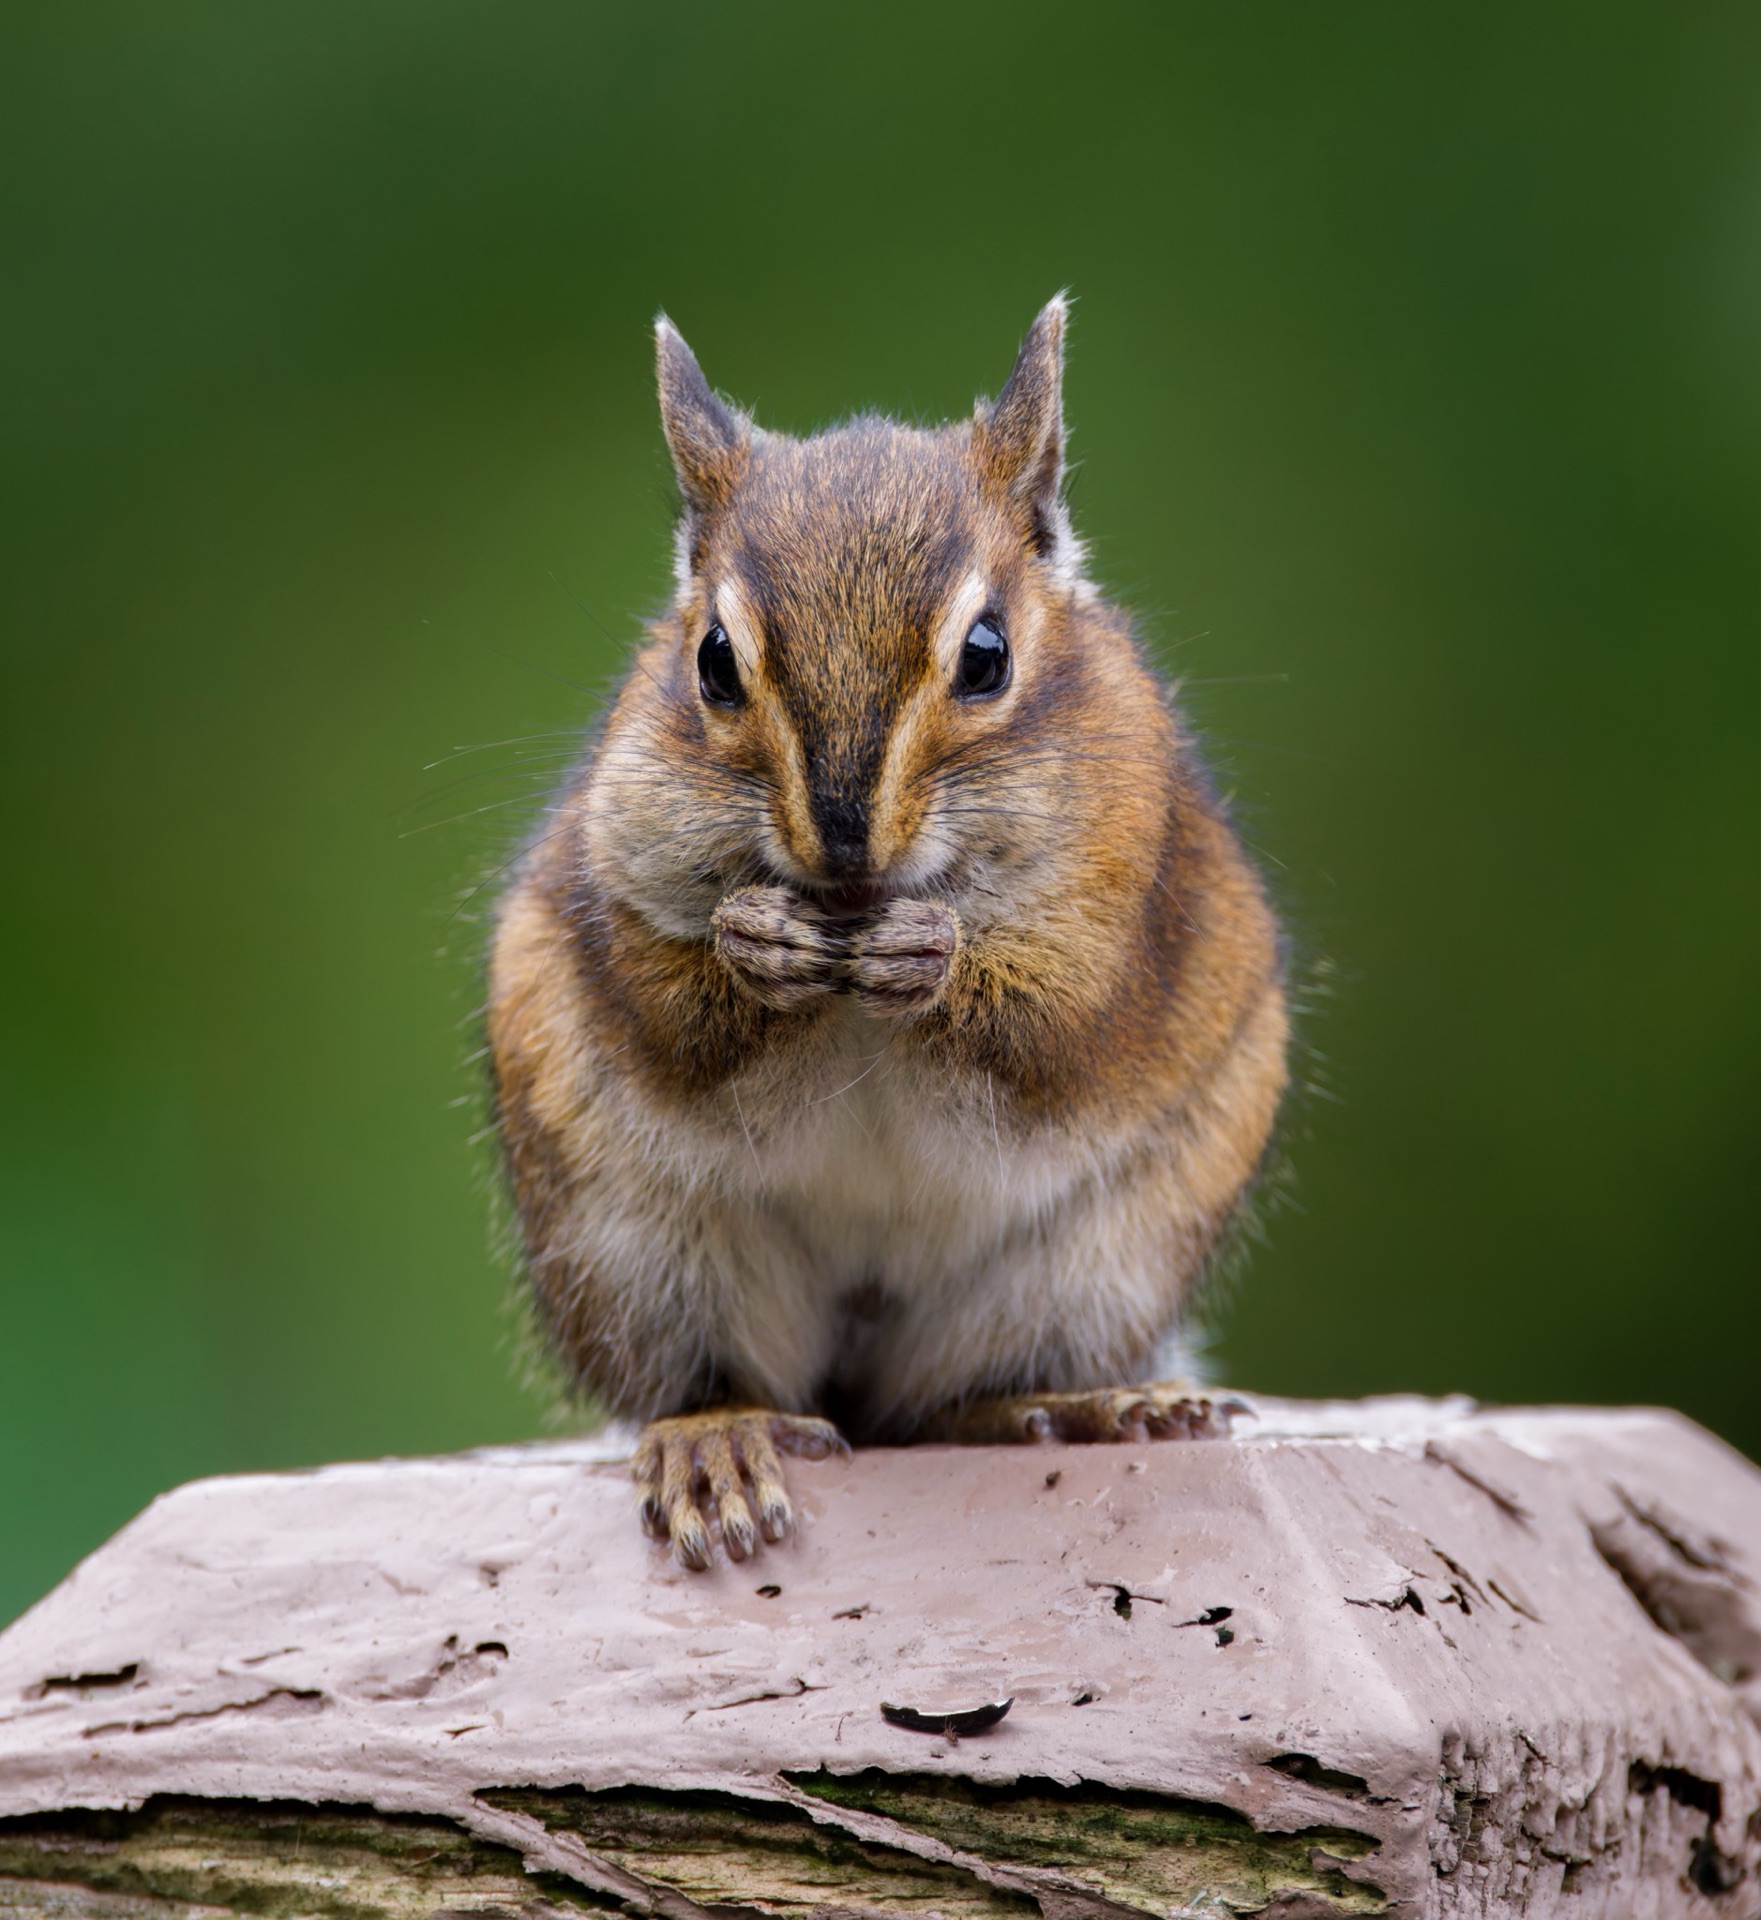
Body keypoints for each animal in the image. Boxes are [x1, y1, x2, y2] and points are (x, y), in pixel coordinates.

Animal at [487, 298, 1288, 1569]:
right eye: (712, 661)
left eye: (988, 654)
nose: (845, 843)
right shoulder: (611, 861)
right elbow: (662, 998)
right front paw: (754, 949)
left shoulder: (1126, 895)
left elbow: (1060, 1017)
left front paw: (932, 961)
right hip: (638, 1259)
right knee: (717, 1383)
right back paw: (717, 1440)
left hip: (1094, 1265)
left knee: (944, 1406)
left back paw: (1087, 1403)